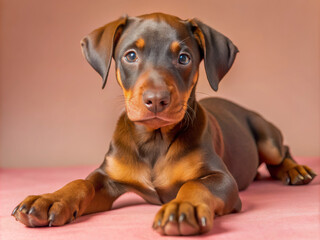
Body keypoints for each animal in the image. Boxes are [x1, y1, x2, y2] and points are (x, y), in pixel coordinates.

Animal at [11, 12, 316, 235]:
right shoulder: (108, 177)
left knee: (281, 153)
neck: (154, 140)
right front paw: (49, 199)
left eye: (183, 58)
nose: (156, 100)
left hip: (265, 135)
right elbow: (80, 182)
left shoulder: (221, 177)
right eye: (130, 55)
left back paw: (296, 170)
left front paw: (183, 207)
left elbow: (194, 186)